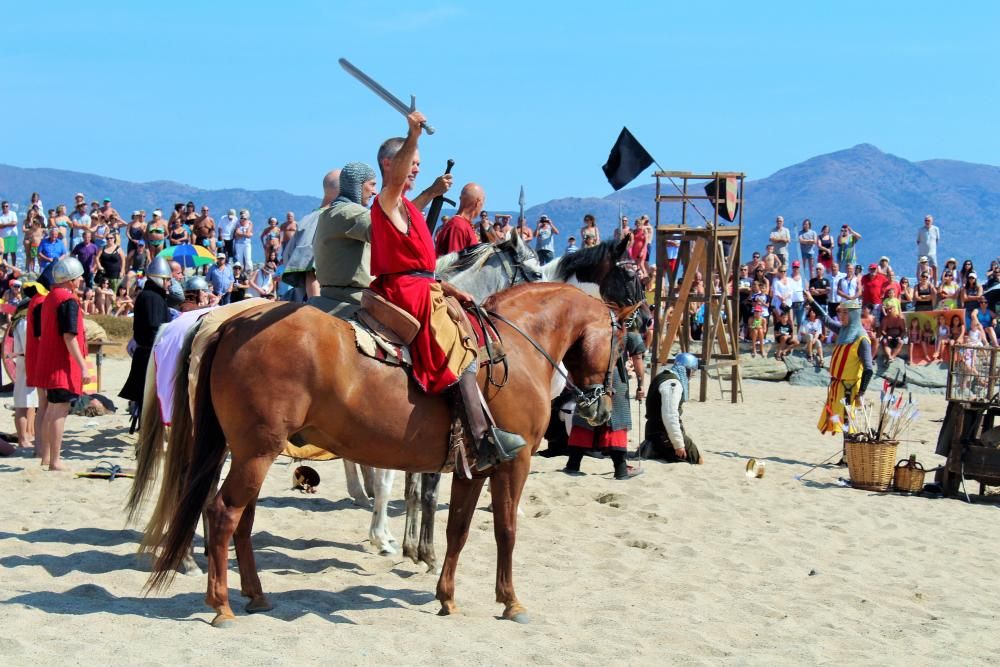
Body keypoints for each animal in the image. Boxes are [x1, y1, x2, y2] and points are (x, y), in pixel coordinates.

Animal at [131, 282, 632, 628]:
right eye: (622, 345)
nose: (602, 408)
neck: (514, 349)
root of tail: (233, 321)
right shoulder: (515, 462)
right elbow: (505, 530)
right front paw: (510, 601)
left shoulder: (473, 468)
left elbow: (457, 531)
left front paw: (446, 595)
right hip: (255, 452)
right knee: (221, 514)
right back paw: (222, 605)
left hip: (249, 453)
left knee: (240, 521)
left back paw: (255, 595)